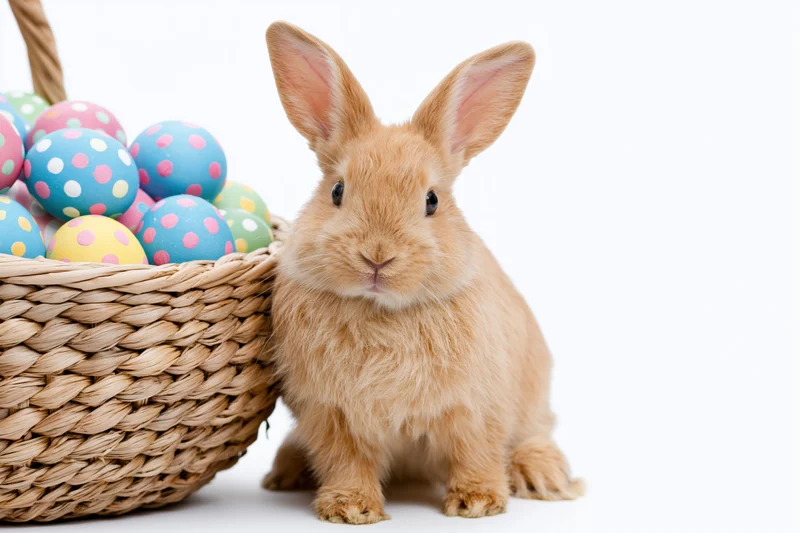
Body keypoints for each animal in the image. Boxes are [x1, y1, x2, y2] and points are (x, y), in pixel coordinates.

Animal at [262, 21, 584, 524]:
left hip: (534, 400)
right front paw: (350, 508)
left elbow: (477, 452)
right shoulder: (330, 416)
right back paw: (285, 471)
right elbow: (346, 461)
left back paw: (544, 477)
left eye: (431, 200)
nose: (377, 256)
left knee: (535, 433)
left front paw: (479, 503)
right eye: (337, 191)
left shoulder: (477, 407)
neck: (382, 312)